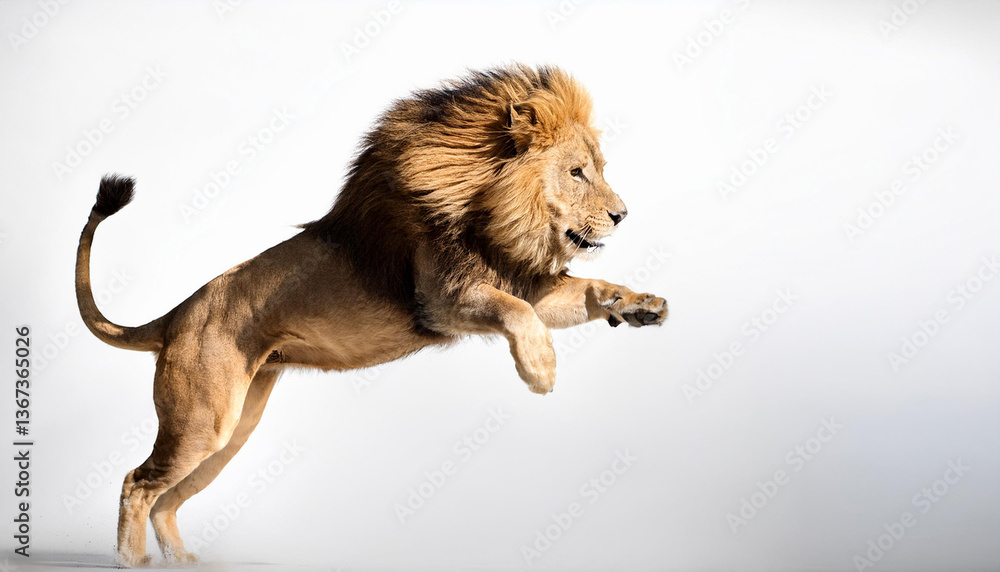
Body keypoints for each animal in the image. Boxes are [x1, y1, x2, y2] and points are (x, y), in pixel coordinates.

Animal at [74, 64, 667, 566]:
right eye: (577, 172)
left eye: (599, 170)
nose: (622, 215)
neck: (489, 207)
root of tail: (176, 315)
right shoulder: (442, 299)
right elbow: (516, 310)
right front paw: (540, 368)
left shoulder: (518, 279)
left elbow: (589, 288)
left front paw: (640, 305)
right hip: (202, 421)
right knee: (137, 484)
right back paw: (130, 561)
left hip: (232, 431)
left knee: (167, 499)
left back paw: (182, 561)